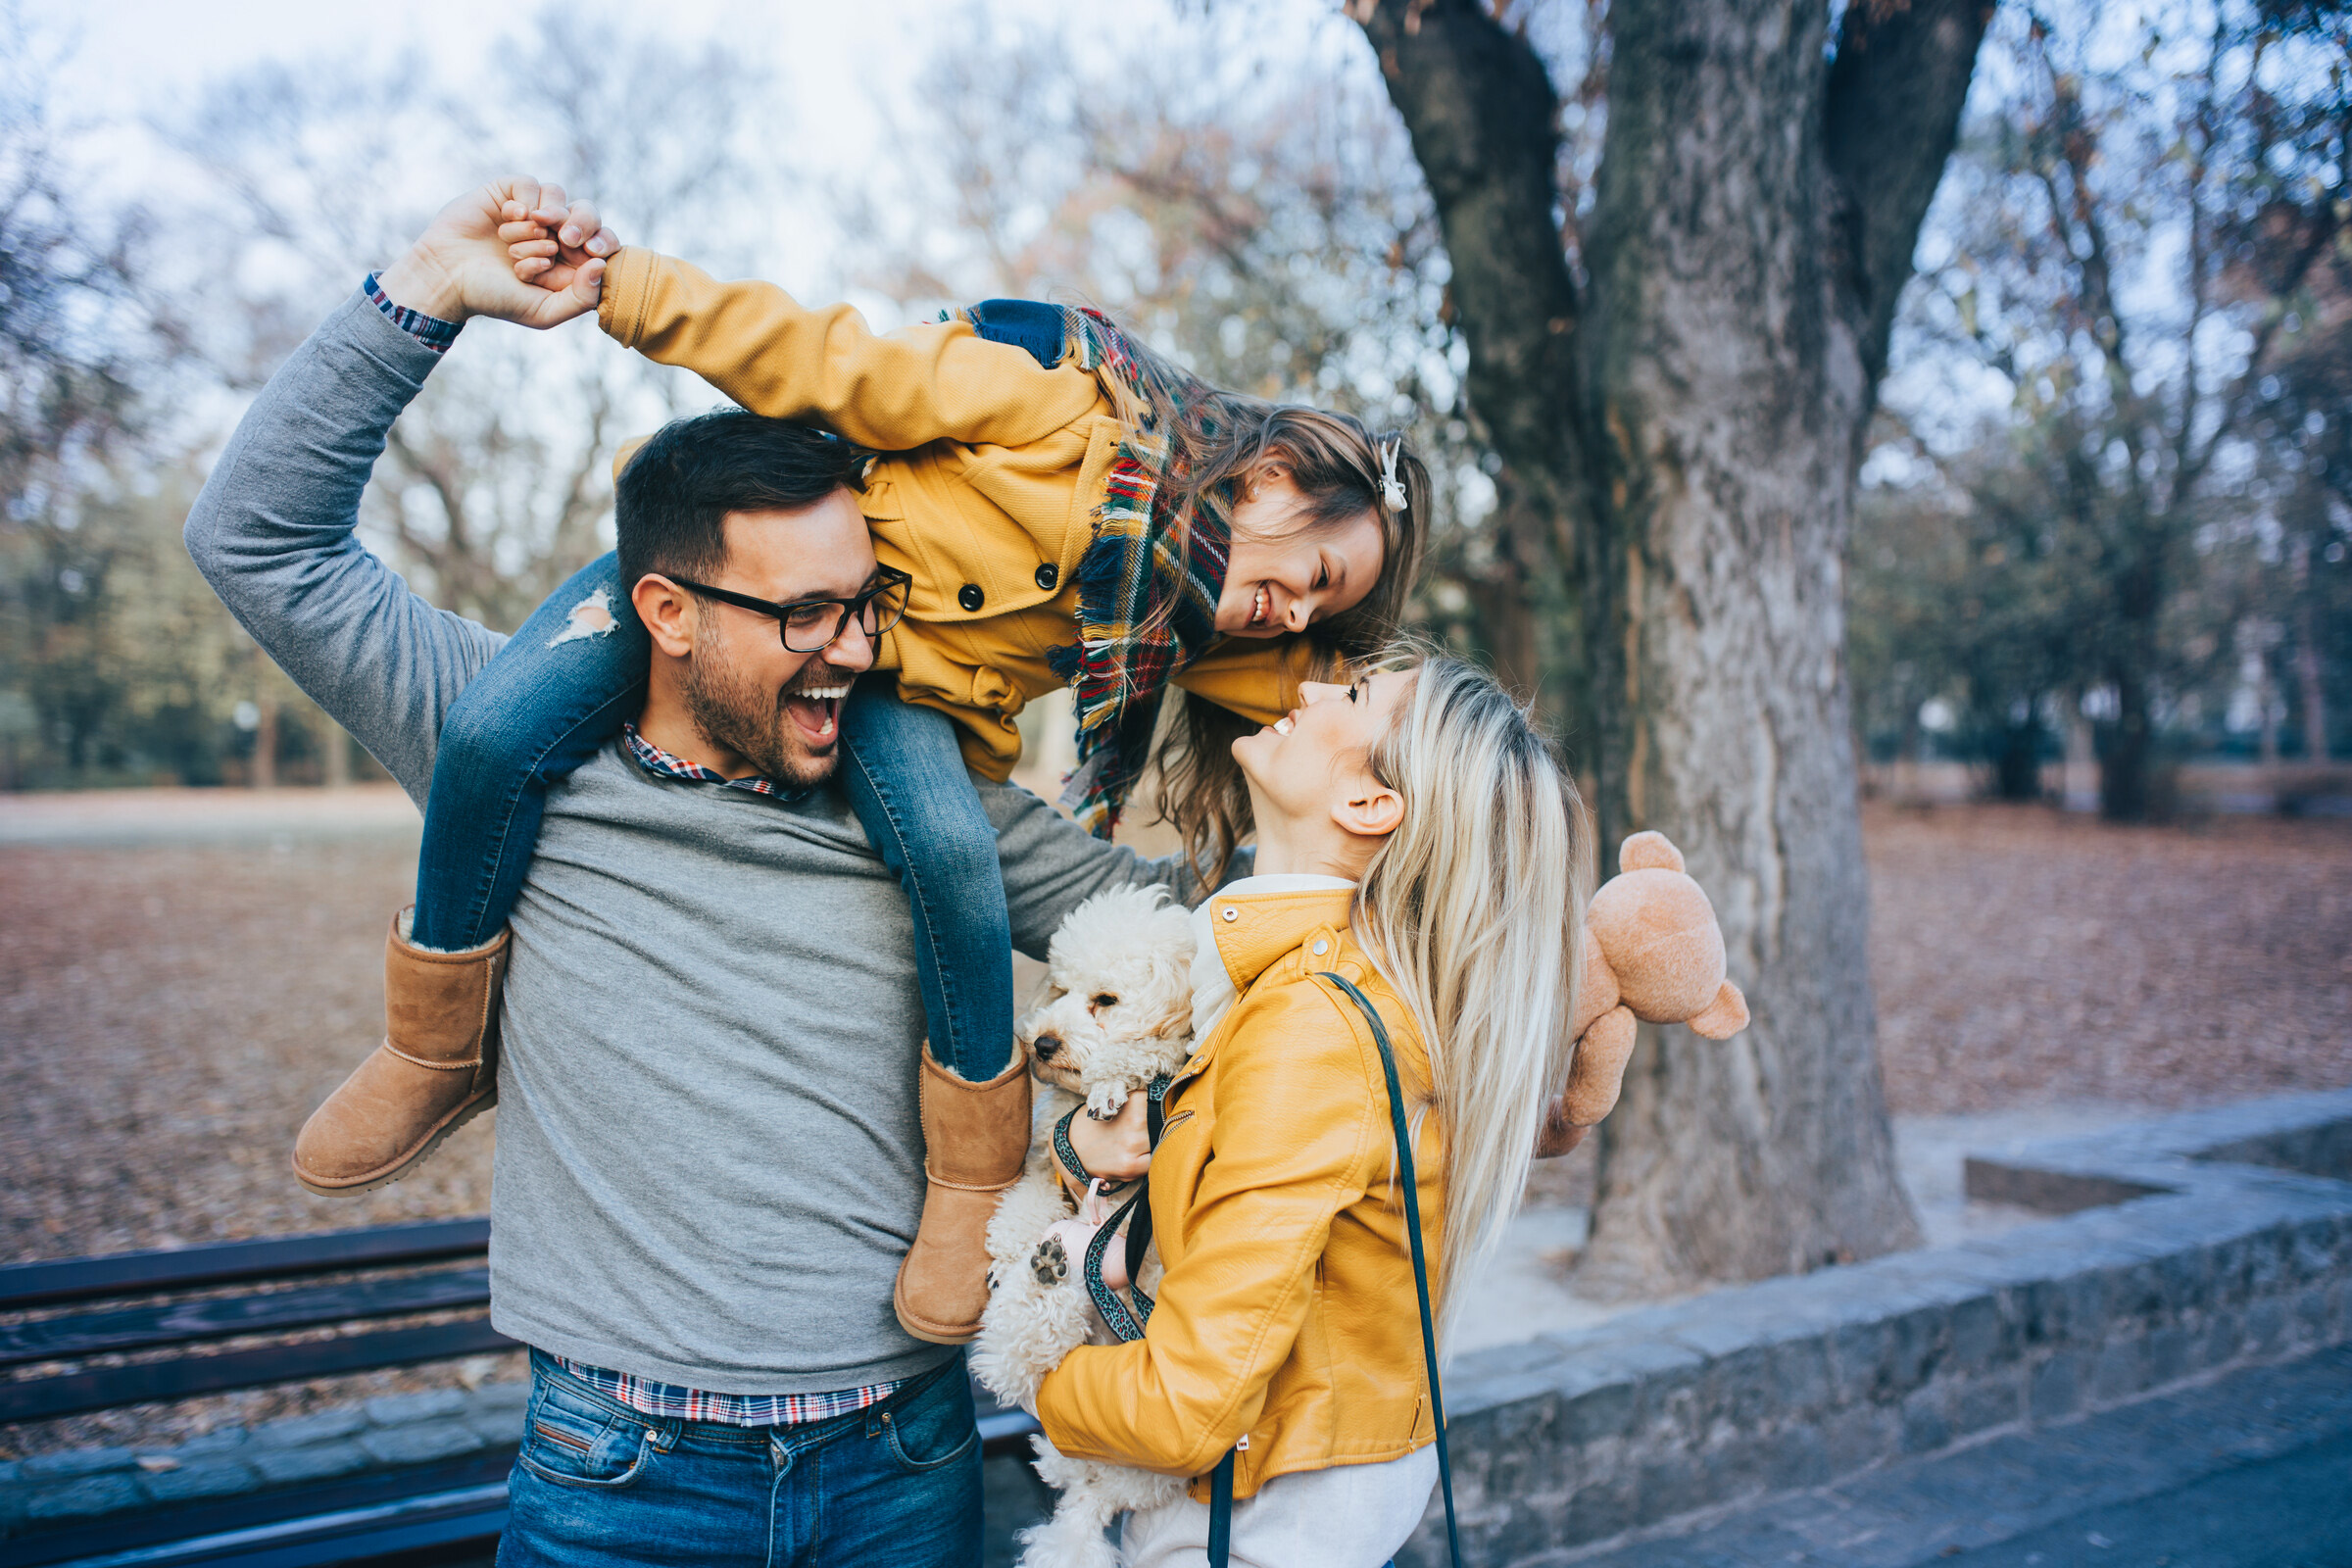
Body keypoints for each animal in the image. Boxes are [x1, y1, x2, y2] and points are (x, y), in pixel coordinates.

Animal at [968, 888, 1195, 1560]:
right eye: (1060, 989)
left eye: (1106, 999)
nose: (1041, 1044)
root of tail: (1094, 1493)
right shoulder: (1050, 1165)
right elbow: (1023, 1202)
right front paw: (1007, 1247)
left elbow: (1150, 1051)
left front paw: (1112, 1078)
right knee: (1015, 1358)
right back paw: (1042, 1271)